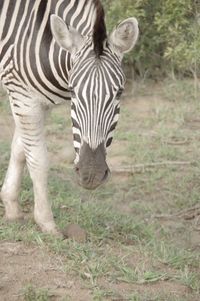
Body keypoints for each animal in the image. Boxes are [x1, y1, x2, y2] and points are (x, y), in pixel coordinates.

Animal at [0, 0, 139, 234]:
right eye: (72, 90)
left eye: (119, 92)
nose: (91, 176)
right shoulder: (23, 96)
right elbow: (37, 159)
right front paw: (46, 222)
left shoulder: (37, 101)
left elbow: (20, 150)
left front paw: (11, 207)